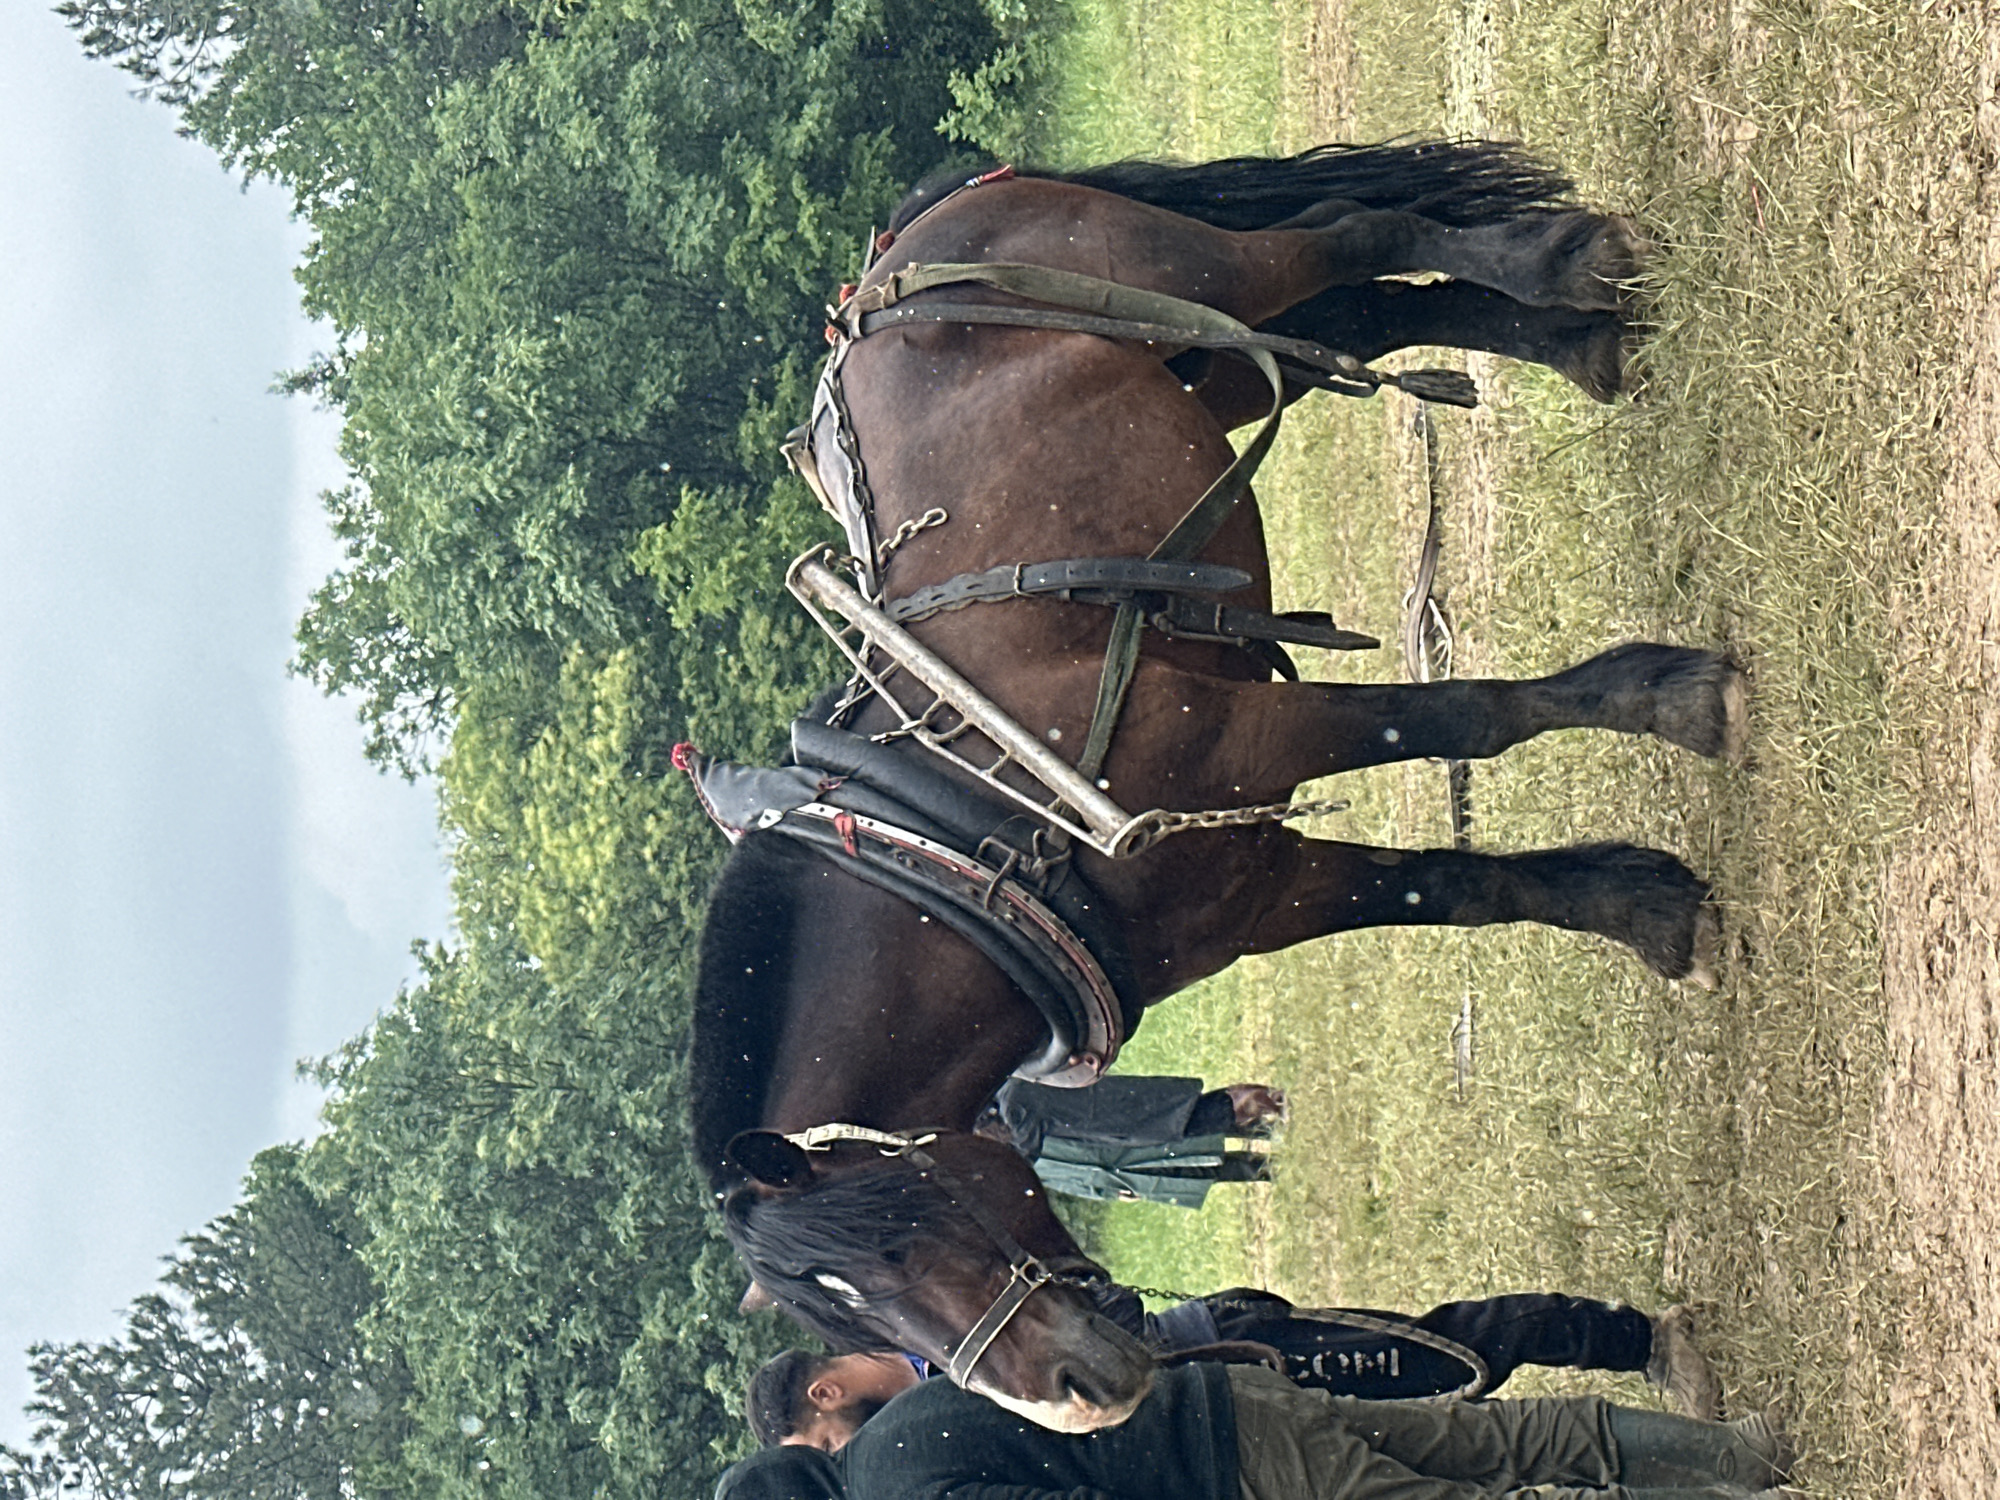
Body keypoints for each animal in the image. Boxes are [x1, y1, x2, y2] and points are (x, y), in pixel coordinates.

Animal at [686, 141, 1746, 1432]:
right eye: (850, 1319)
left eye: (890, 1244)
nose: (1072, 1398)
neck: (972, 841)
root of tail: (895, 256)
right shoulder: (1255, 889)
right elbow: (1450, 890)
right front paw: (1637, 905)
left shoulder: (1251, 737)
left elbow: (1462, 717)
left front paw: (1663, 699)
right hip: (1204, 360)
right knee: (1372, 315)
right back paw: (1566, 337)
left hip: (1189, 273)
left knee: (1348, 232)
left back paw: (1557, 262)